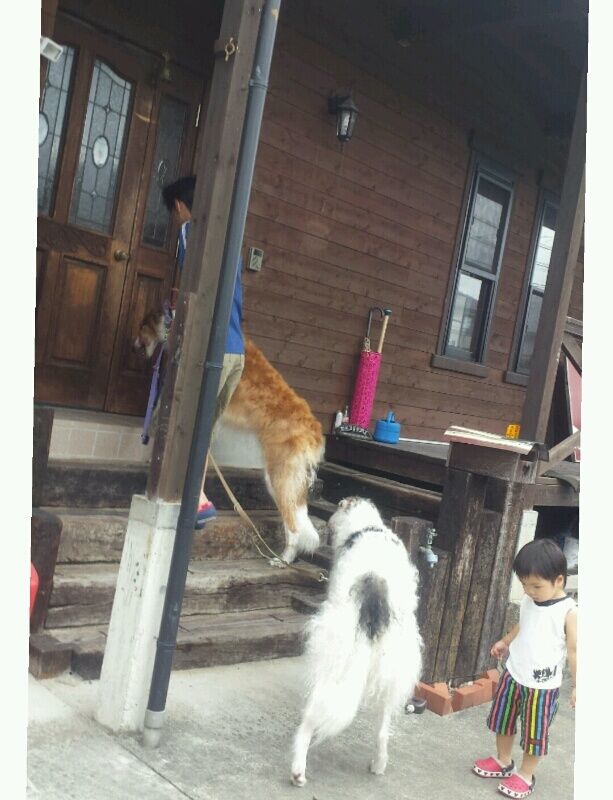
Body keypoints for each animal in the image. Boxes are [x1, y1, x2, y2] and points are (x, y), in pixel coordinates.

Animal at [134, 308, 324, 565]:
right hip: (288, 481)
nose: (133, 345)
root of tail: (315, 432)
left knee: (294, 527)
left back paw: (282, 559)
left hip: (279, 477)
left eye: (141, 326)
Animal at [290, 497, 422, 787]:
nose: (327, 528)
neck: (368, 526)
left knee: (310, 719)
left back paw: (298, 771)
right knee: (383, 730)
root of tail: (376, 585)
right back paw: (378, 765)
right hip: (393, 668)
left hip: (334, 658)